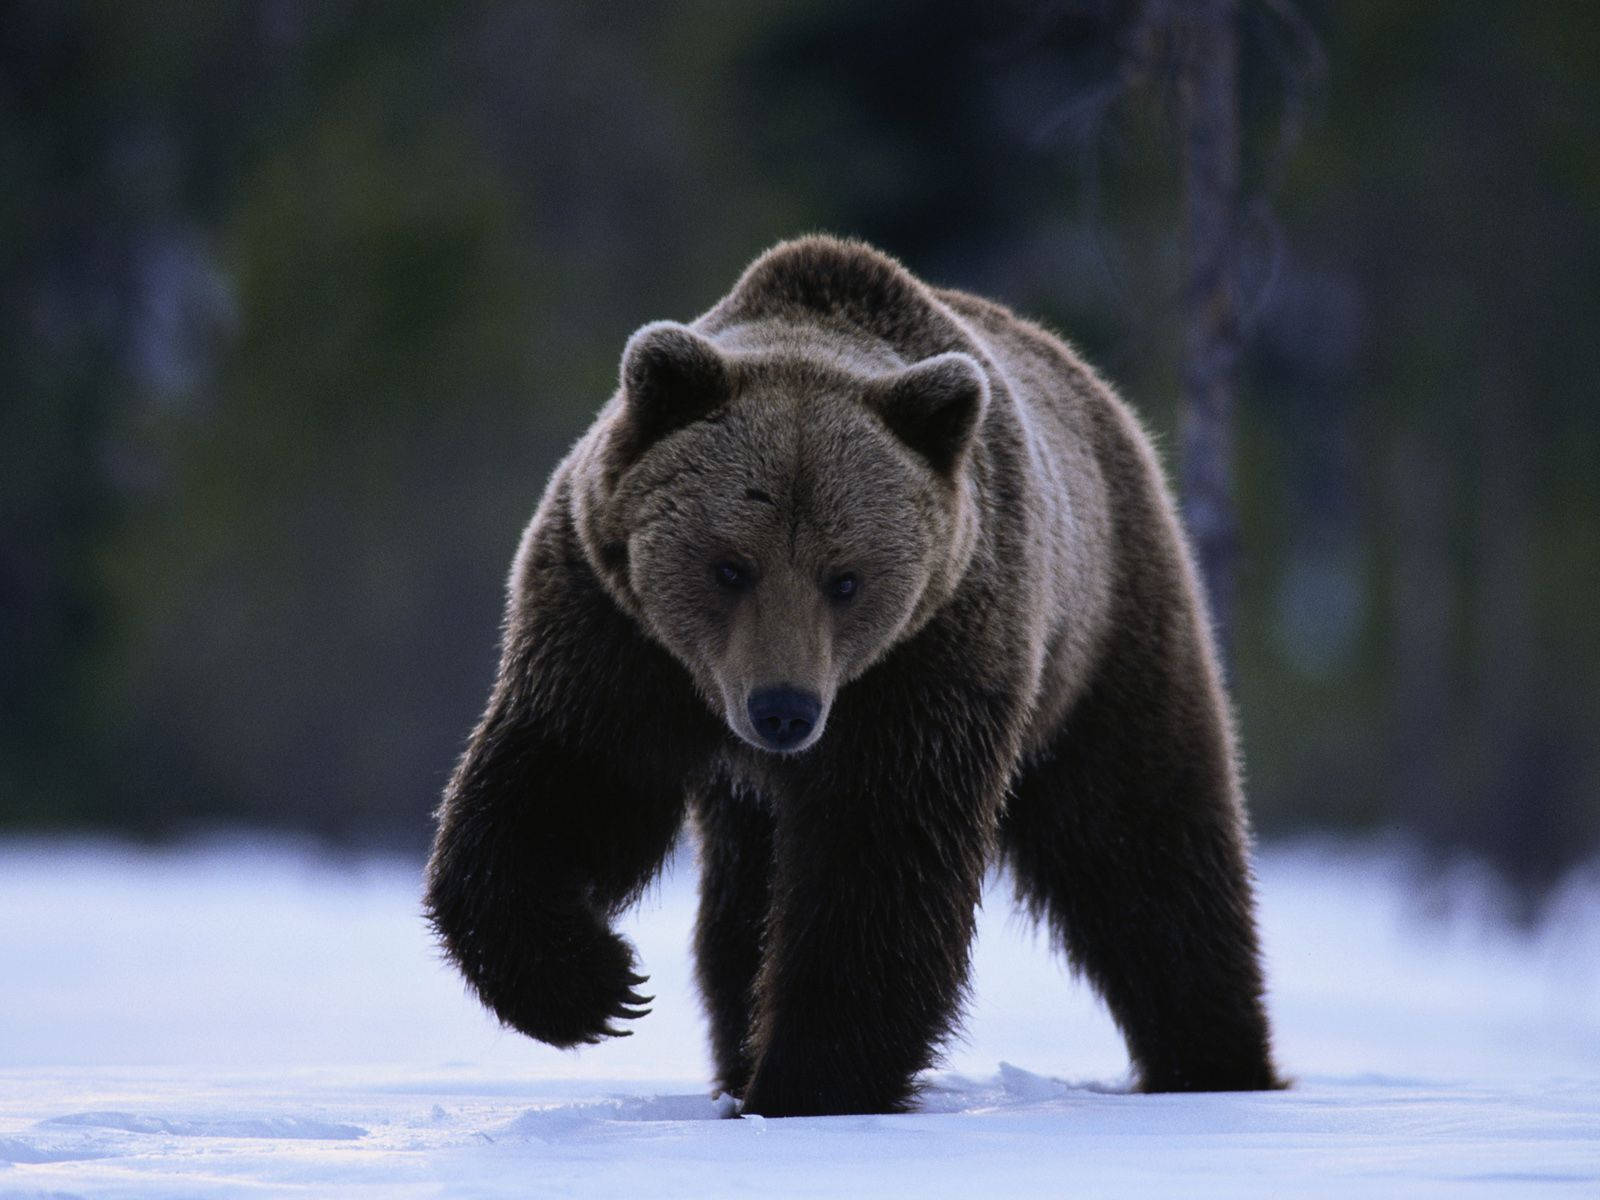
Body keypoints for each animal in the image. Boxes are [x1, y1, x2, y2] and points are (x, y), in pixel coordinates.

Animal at [419, 235, 1280, 1120]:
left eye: (846, 578)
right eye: (730, 565)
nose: (784, 710)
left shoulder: (931, 659)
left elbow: (878, 862)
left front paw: (809, 1082)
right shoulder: (612, 632)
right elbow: (566, 782)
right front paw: (595, 985)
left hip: (1105, 637)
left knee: (1144, 847)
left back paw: (1215, 1061)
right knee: (740, 908)